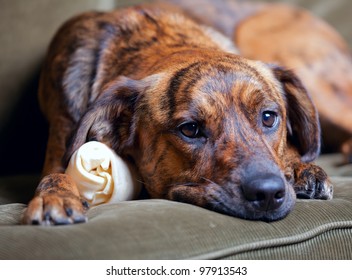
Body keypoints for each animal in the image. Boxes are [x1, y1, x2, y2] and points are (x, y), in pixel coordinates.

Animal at [22, 1, 332, 225]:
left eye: (268, 117)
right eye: (190, 129)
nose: (267, 193)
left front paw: (299, 166)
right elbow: (55, 176)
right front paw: (56, 196)